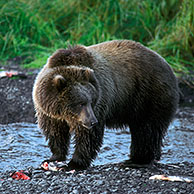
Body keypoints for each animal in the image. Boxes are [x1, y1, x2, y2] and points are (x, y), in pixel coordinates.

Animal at [32, 39, 180, 170]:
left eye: (91, 101)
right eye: (80, 103)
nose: (92, 121)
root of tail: (167, 65)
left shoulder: (100, 99)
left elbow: (88, 136)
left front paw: (74, 163)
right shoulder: (48, 111)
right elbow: (55, 132)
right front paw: (53, 157)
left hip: (149, 95)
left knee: (147, 130)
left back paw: (137, 161)